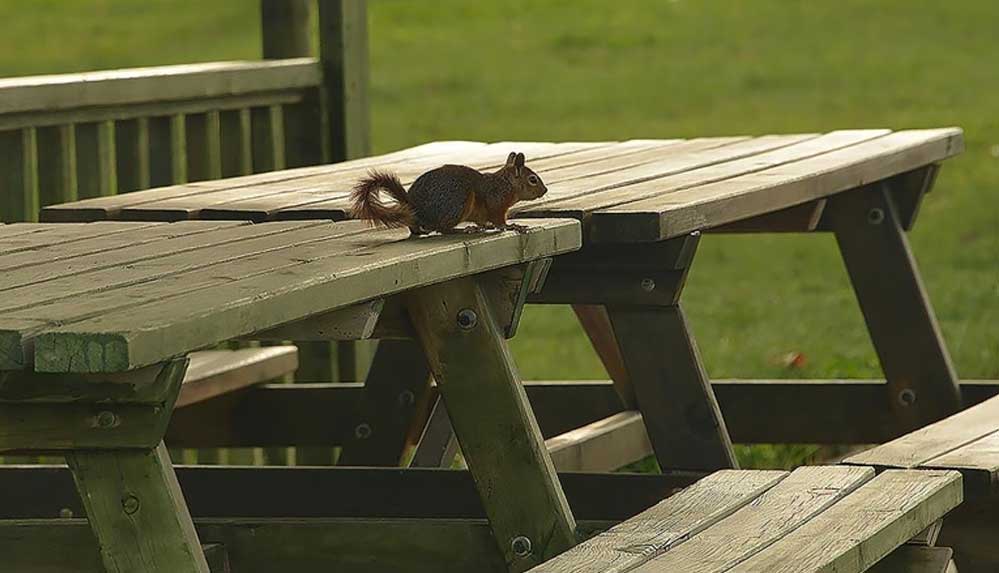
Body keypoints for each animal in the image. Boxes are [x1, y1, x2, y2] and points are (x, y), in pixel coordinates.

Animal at [352, 151, 552, 236]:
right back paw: (463, 229)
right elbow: (499, 221)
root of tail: (414, 205)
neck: (506, 184)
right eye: (533, 179)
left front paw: (486, 226)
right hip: (457, 202)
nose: (545, 190)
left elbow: (484, 220)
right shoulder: (496, 202)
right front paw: (512, 226)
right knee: (443, 229)